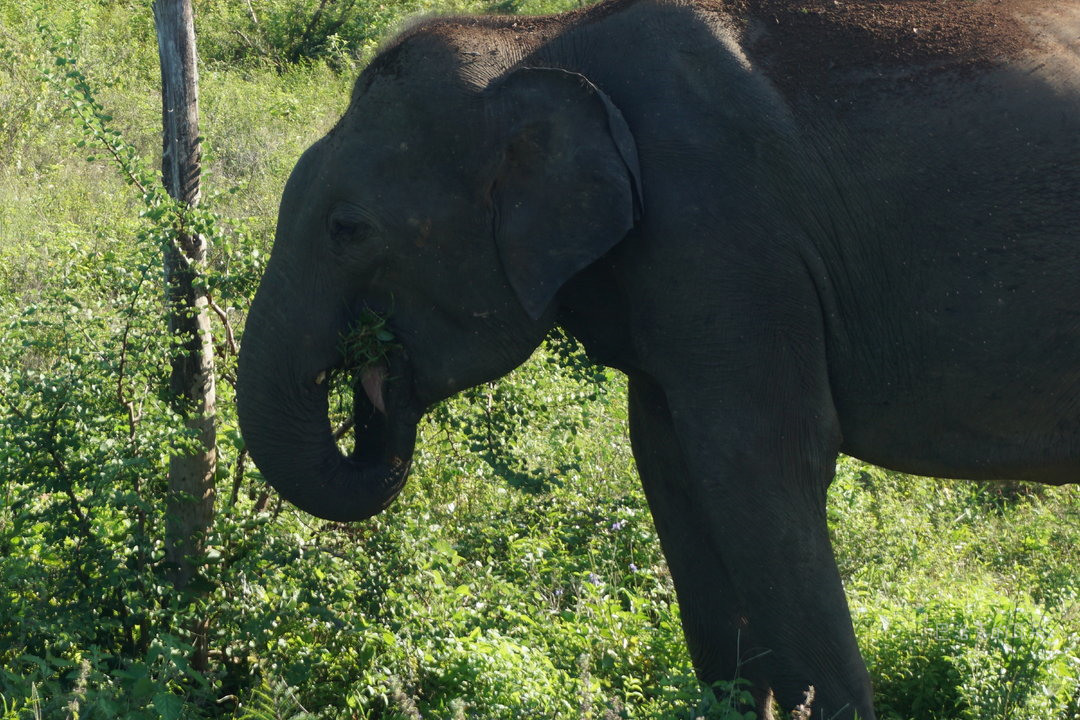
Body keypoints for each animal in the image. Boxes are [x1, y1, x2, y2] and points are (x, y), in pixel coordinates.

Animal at [236, 1, 1080, 716]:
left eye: (347, 228)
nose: (374, 368)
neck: (537, 41)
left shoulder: (727, 233)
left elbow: (759, 463)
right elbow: (671, 469)